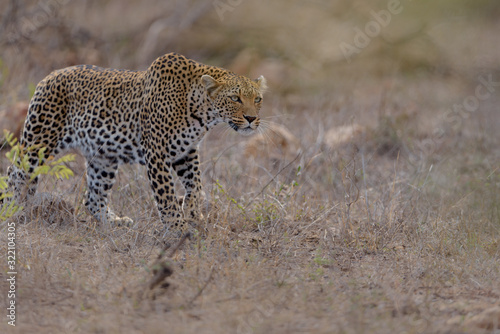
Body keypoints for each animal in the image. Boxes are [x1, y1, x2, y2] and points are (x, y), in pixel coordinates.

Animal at [5, 52, 268, 237]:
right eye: (235, 98)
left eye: (258, 99)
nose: (251, 119)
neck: (202, 113)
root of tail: (49, 75)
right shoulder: (157, 154)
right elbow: (166, 196)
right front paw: (178, 228)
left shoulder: (187, 152)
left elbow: (196, 186)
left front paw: (194, 216)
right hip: (39, 142)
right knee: (14, 172)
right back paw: (9, 210)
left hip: (103, 157)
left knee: (93, 197)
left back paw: (114, 222)